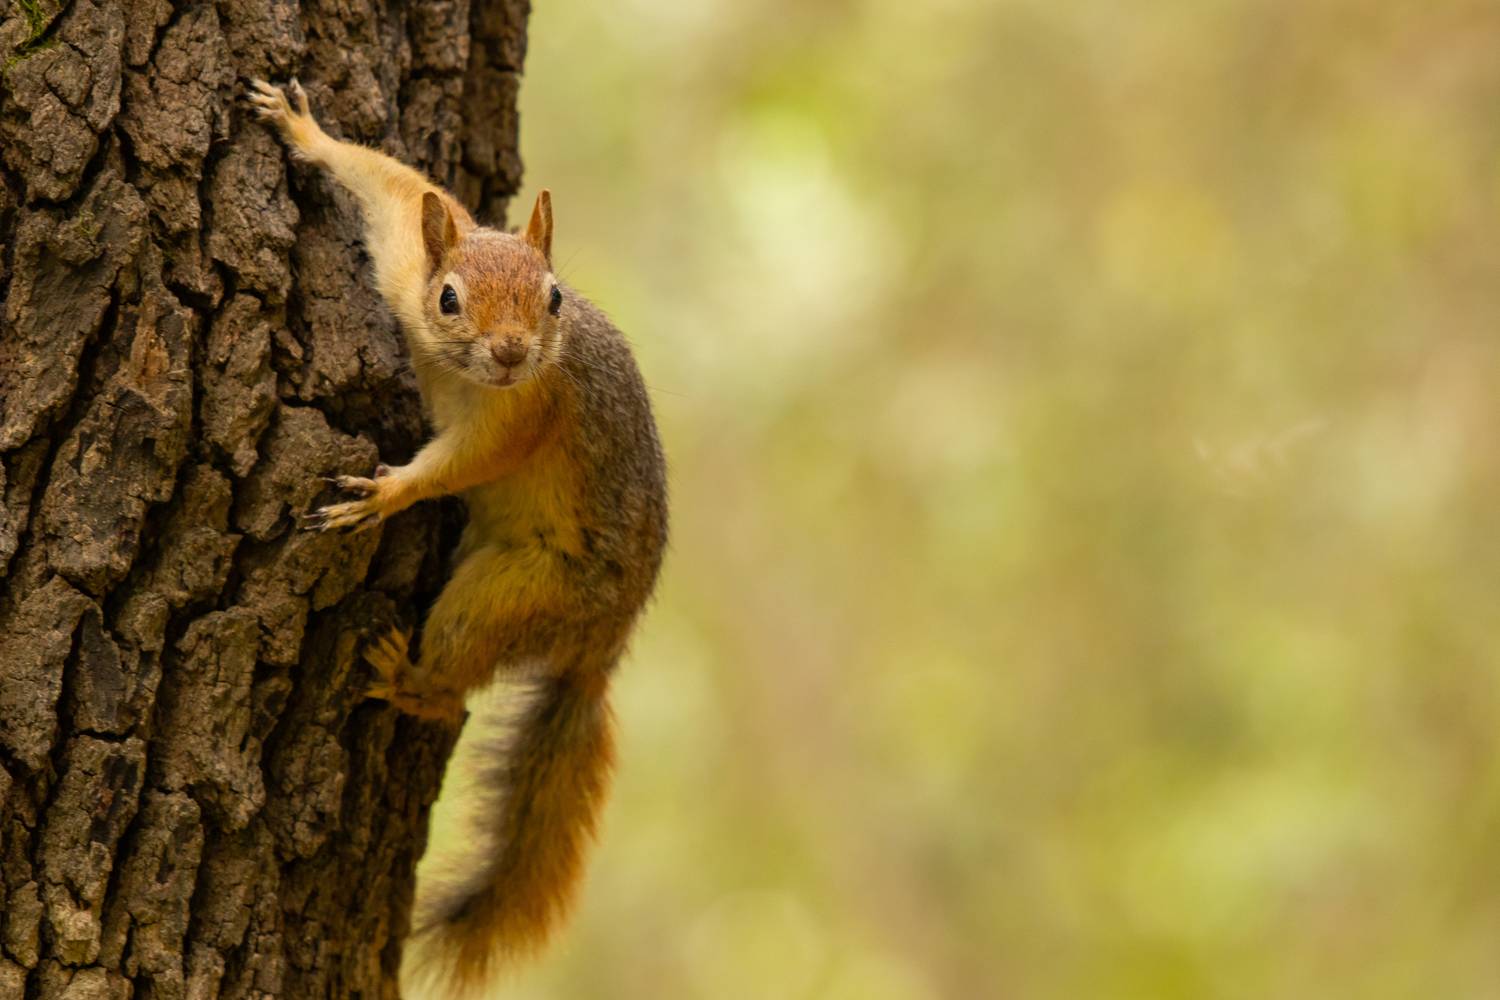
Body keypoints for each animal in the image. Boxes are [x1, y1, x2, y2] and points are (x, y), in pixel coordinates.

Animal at [248, 79, 668, 990]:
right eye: (450, 297)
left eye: (553, 297)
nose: (511, 352)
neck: (465, 371)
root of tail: (600, 647)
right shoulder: (408, 261)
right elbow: (392, 186)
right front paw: (305, 130)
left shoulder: (525, 415)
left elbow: (464, 463)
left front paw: (387, 493)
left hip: (511, 596)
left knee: (455, 692)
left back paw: (406, 678)